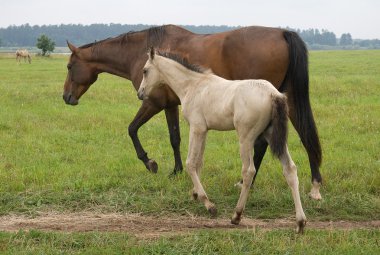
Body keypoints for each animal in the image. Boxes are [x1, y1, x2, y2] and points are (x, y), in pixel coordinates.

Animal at [63, 24, 324, 199]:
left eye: (69, 66)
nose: (66, 97)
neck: (140, 53)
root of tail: (282, 33)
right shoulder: (170, 106)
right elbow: (174, 138)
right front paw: (177, 170)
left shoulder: (152, 103)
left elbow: (132, 129)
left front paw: (150, 162)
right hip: (286, 101)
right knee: (305, 135)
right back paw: (314, 185)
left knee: (262, 145)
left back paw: (246, 182)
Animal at [138, 47, 308, 233]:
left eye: (145, 70)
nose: (140, 93)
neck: (193, 85)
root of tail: (273, 93)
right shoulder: (204, 131)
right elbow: (199, 163)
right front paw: (195, 194)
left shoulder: (196, 128)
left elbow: (190, 163)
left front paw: (209, 204)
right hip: (273, 136)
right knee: (290, 169)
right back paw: (300, 222)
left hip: (246, 138)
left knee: (249, 171)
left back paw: (237, 215)